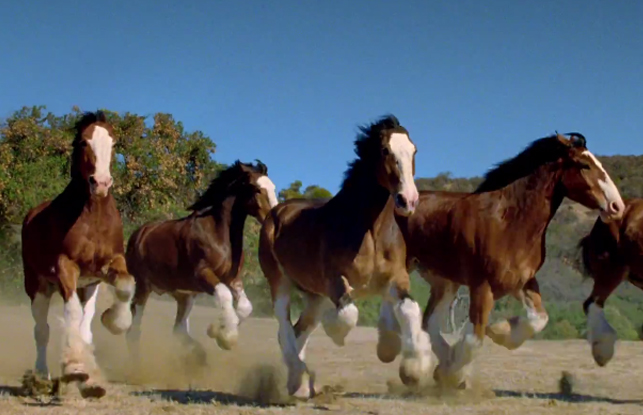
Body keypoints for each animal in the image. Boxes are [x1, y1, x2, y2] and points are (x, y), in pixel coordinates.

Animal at [21, 110, 136, 400]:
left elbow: (126, 286)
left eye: (113, 144)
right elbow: (70, 314)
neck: (92, 216)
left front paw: (115, 321)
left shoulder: (109, 265)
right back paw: (41, 377)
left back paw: (89, 381)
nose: (101, 183)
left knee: (85, 327)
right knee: (42, 331)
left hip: (88, 287)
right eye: (84, 142)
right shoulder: (66, 267)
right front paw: (74, 368)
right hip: (38, 286)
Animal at [124, 159, 278, 360]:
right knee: (134, 325)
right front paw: (226, 337)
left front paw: (217, 330)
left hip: (184, 295)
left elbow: (245, 307)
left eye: (273, 187)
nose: (273, 218)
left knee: (178, 329)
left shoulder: (232, 278)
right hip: (143, 286)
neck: (218, 235)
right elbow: (225, 295)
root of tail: (138, 234)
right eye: (257, 189)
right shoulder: (203, 274)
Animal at [256, 115, 428, 402]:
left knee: (298, 330)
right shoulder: (336, 280)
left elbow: (410, 309)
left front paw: (411, 367)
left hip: (315, 297)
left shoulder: (396, 279)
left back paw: (299, 385)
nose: (408, 200)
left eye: (414, 150)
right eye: (385, 150)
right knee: (284, 328)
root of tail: (275, 212)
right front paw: (338, 335)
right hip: (280, 282)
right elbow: (348, 314)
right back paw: (300, 377)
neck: (368, 230)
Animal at [394, 133, 628, 390]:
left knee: (430, 322)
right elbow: (475, 338)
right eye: (584, 165)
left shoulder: (521, 282)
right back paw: (414, 369)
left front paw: (500, 332)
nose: (617, 206)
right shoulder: (482, 286)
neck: (508, 222)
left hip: (444, 282)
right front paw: (453, 374)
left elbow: (538, 320)